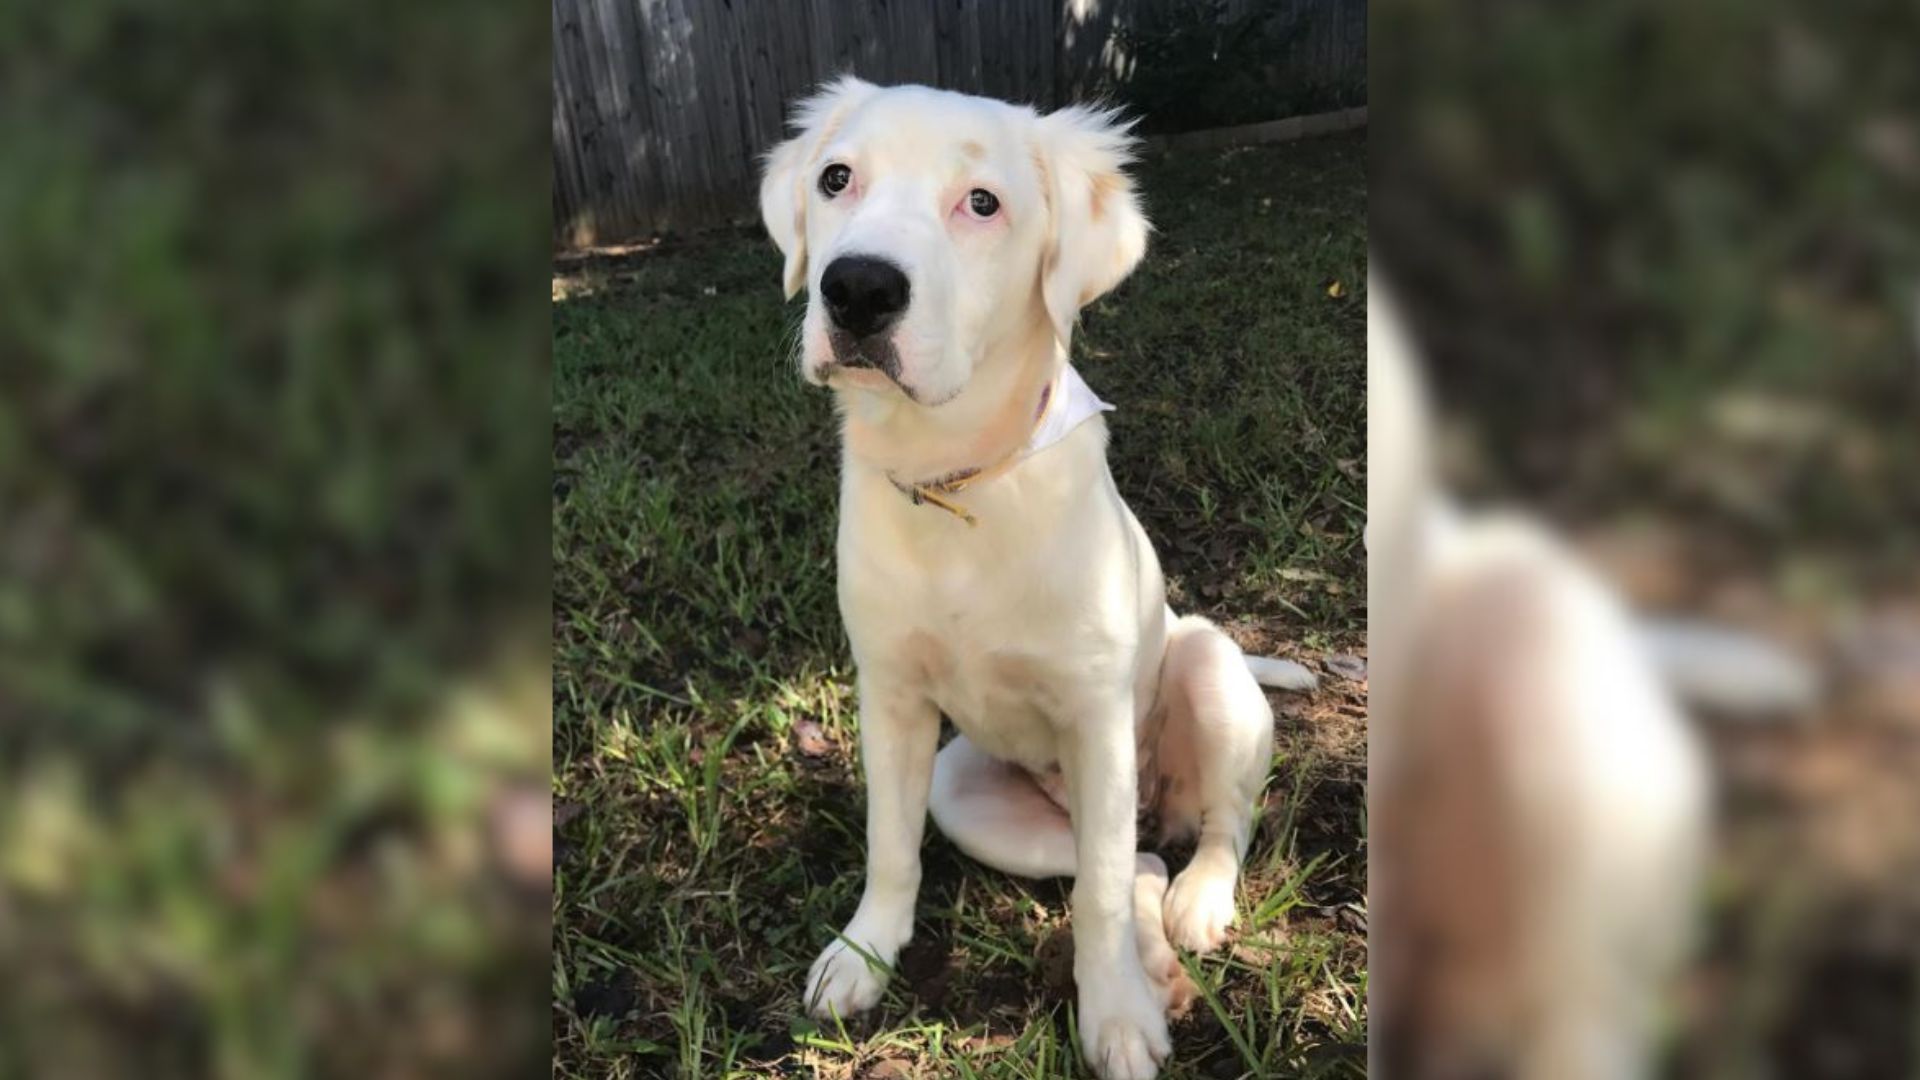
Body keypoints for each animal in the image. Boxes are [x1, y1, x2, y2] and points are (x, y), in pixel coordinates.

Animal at [760, 77, 1320, 1076]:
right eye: (836, 179)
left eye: (982, 203)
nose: (856, 288)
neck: (956, 479)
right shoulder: (890, 696)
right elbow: (890, 846)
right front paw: (864, 955)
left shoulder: (1096, 716)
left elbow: (1095, 893)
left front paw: (1116, 1020)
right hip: (969, 792)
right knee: (1138, 861)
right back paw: (1160, 963)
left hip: (1208, 670)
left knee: (1212, 829)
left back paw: (1200, 906)